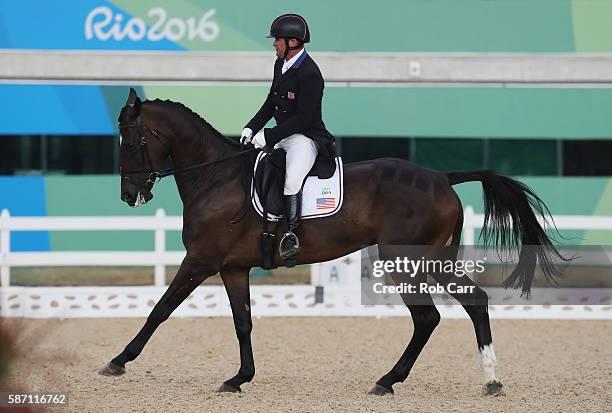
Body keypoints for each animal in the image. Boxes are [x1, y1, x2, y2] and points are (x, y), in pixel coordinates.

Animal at [100, 89, 564, 396]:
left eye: (133, 141)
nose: (129, 194)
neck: (216, 177)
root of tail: (442, 177)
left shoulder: (200, 260)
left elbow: (160, 309)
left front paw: (118, 361)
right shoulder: (232, 267)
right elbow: (242, 321)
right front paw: (239, 378)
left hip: (405, 262)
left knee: (428, 317)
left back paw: (388, 381)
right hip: (432, 261)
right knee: (473, 302)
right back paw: (490, 380)